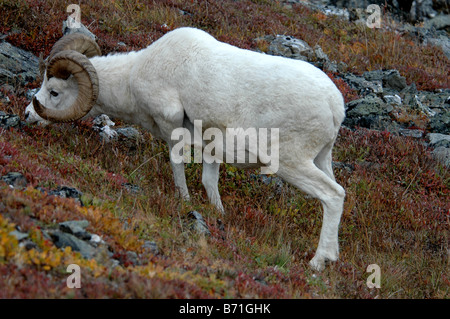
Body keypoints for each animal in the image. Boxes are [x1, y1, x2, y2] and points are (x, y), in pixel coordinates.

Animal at [26, 28, 346, 272]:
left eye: (54, 91)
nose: (29, 114)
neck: (133, 77)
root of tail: (335, 106)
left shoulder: (172, 127)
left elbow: (177, 166)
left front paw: (184, 201)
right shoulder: (212, 146)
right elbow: (209, 181)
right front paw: (218, 214)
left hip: (291, 162)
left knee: (333, 195)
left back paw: (318, 262)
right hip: (321, 158)